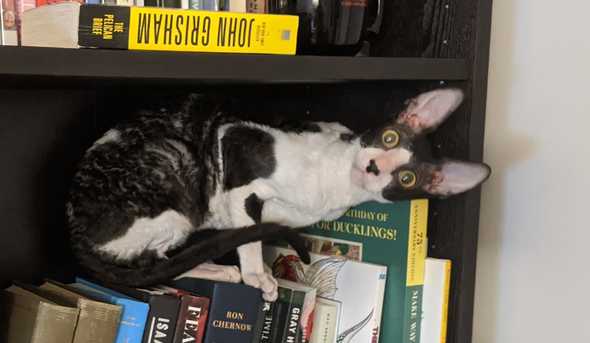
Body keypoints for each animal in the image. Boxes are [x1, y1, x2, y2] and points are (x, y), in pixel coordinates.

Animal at [66, 88, 490, 300]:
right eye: (389, 138)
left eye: (406, 177)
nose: (374, 166)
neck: (333, 181)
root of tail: (73, 229)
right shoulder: (234, 149)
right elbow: (249, 238)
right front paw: (257, 274)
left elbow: (250, 229)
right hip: (177, 184)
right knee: (150, 262)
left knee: (159, 261)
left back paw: (216, 268)